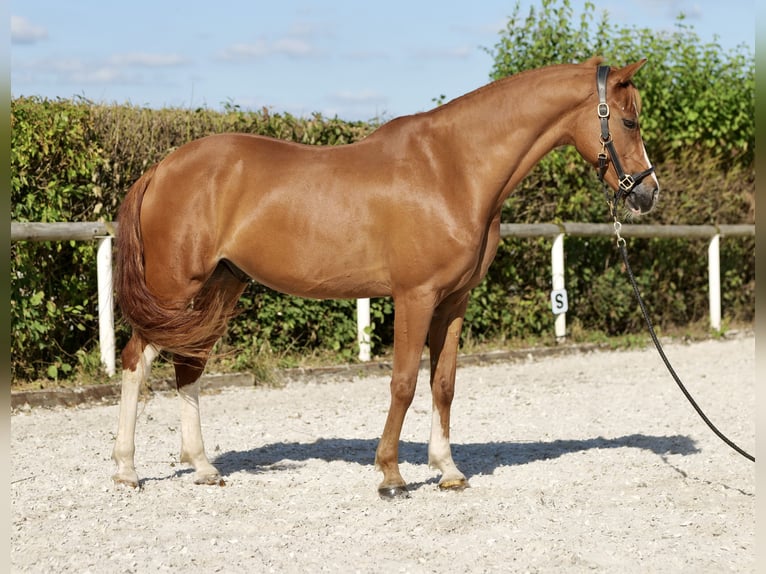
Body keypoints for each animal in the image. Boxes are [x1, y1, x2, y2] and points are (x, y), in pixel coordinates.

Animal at [112, 57, 660, 500]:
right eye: (628, 120)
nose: (647, 192)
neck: (453, 168)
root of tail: (162, 168)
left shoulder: (454, 301)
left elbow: (444, 383)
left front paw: (447, 470)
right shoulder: (414, 296)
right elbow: (403, 382)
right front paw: (391, 476)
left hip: (219, 287)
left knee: (189, 366)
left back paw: (203, 468)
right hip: (175, 287)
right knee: (137, 359)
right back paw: (126, 471)